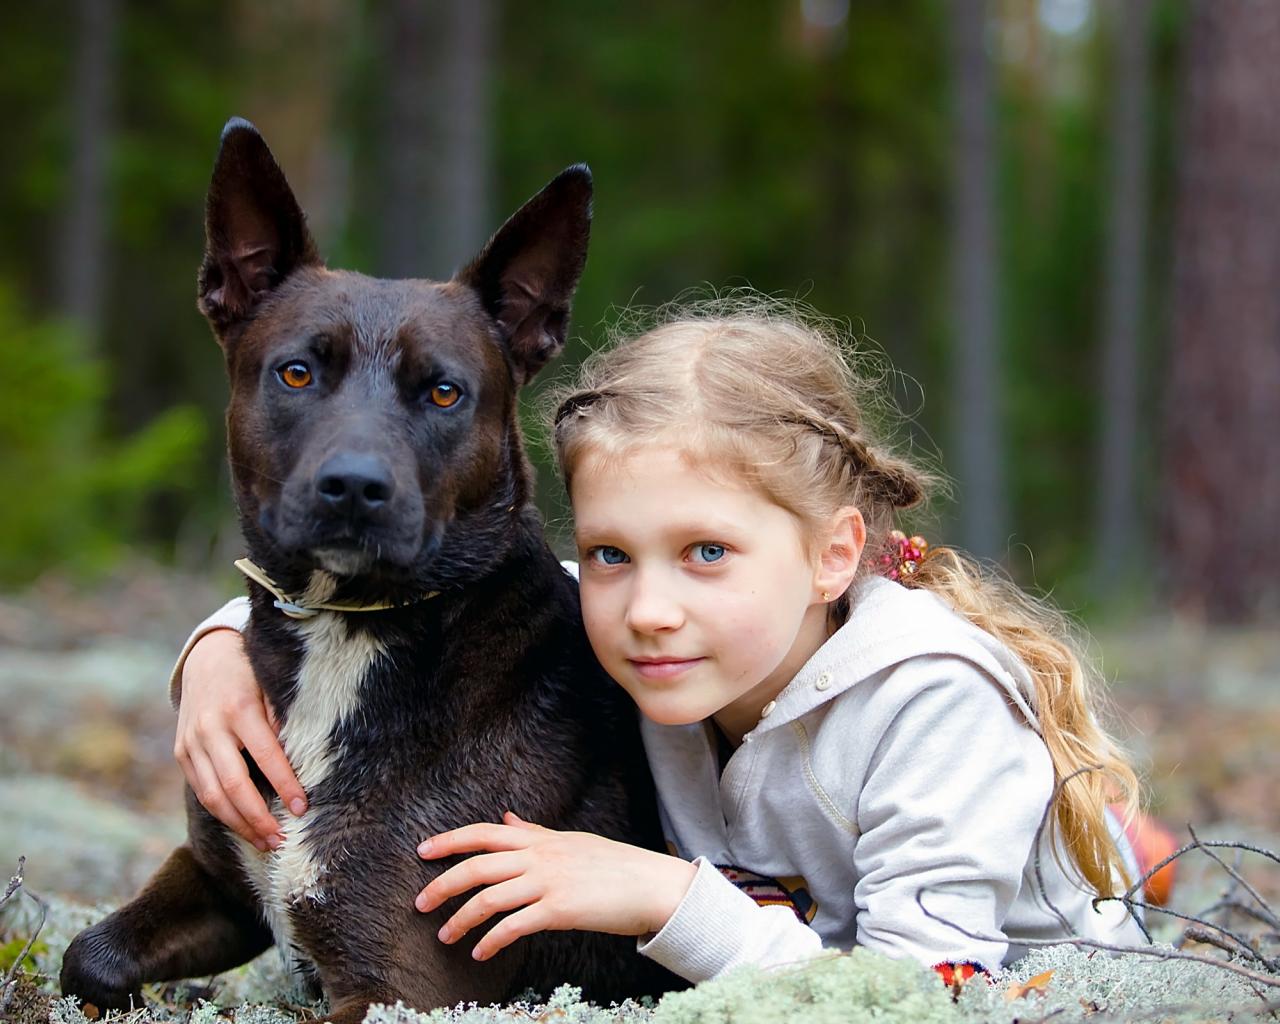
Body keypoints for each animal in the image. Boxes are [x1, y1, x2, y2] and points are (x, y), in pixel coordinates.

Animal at [60, 118, 671, 1021]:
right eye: (297, 372)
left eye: (445, 393)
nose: (354, 487)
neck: (349, 630)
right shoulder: (221, 880)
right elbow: (87, 956)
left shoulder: (400, 985)